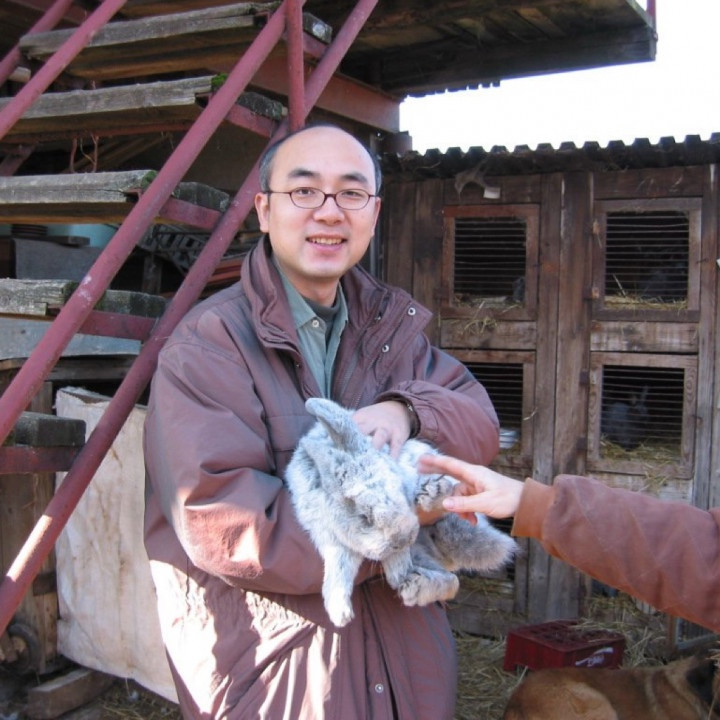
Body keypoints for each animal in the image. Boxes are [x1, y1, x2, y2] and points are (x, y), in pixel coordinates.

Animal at [285, 397, 518, 627]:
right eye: (364, 516)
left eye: (397, 486)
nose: (405, 538)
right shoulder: (330, 538)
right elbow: (339, 568)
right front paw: (340, 614)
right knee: (452, 581)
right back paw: (413, 587)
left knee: (453, 580)